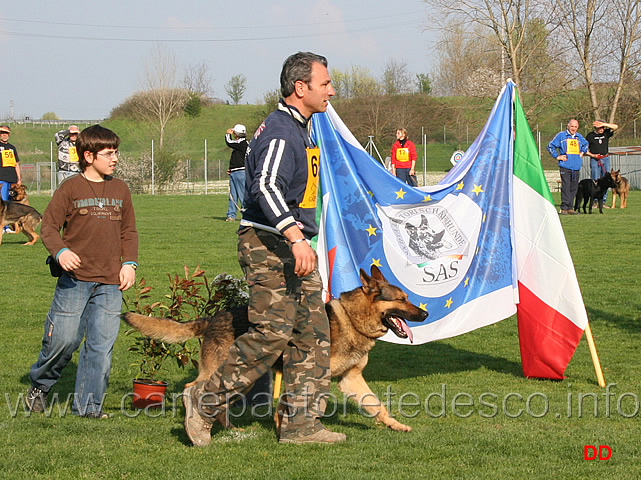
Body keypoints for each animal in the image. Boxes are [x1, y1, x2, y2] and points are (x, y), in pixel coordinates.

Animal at [122, 264, 428, 434]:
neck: (353, 319)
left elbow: (377, 406)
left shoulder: (350, 379)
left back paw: (227, 428)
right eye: (401, 299)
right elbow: (295, 405)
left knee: (217, 398)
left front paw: (395, 425)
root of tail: (214, 317)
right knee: (194, 389)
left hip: (243, 376)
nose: (425, 314)